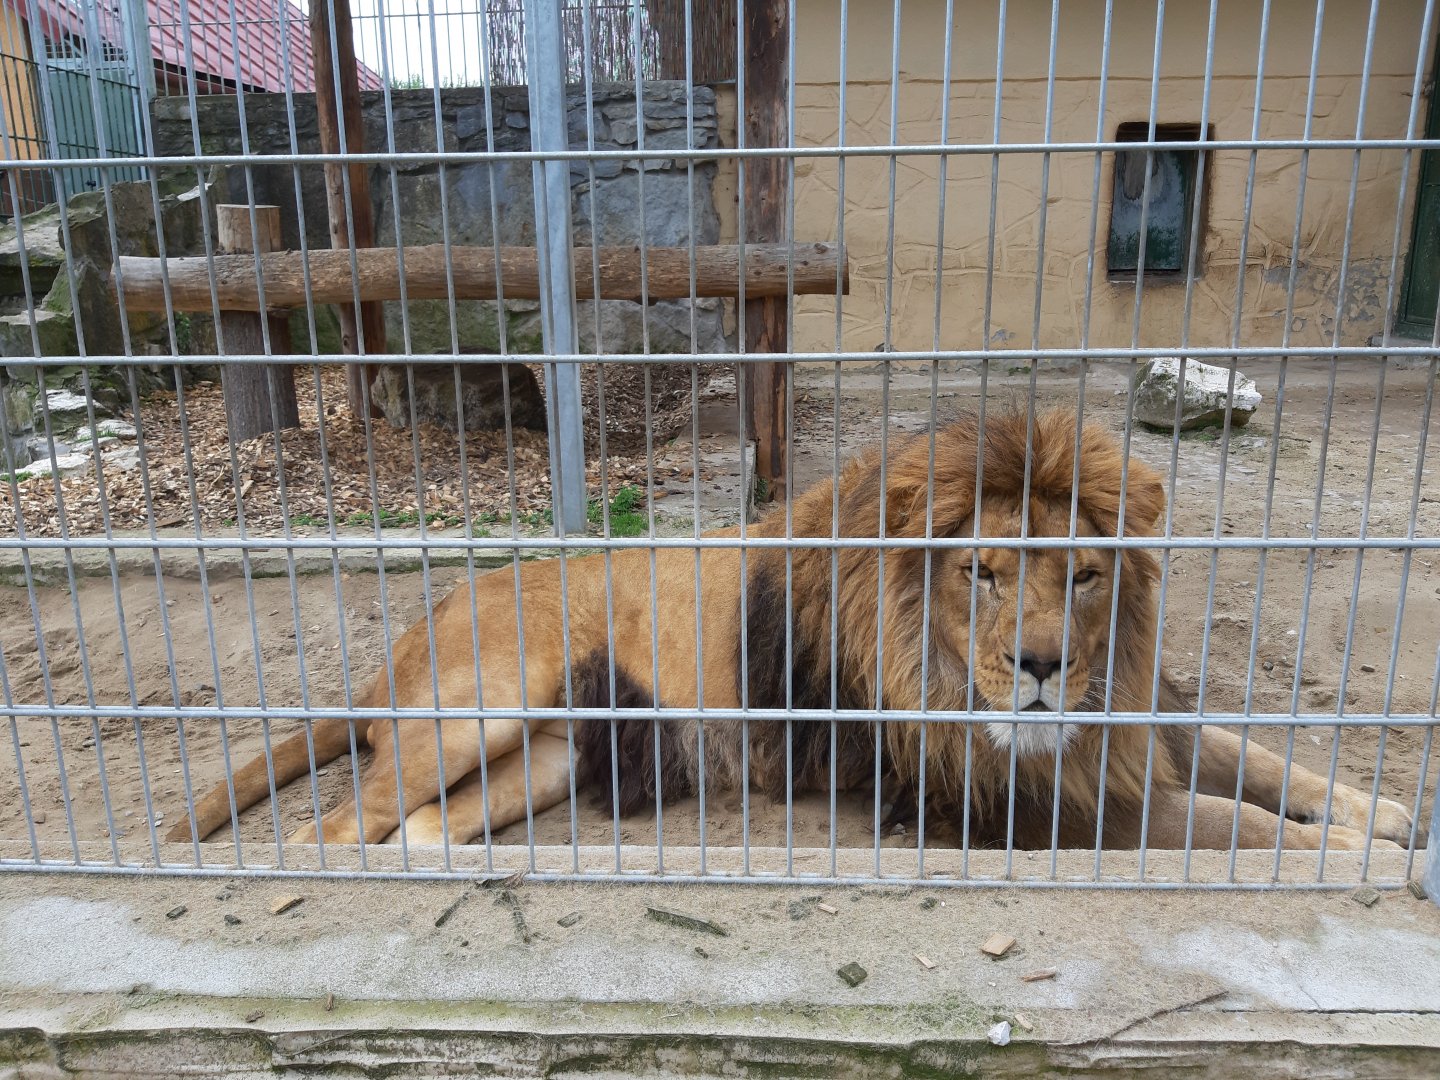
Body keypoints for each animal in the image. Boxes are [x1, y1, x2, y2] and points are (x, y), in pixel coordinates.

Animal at [167, 409, 1413, 854]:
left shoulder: (1121, 727)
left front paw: (1389, 812)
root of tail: (395, 651)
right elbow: (1232, 822)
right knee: (338, 828)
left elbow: (1262, 765)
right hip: (481, 705)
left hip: (554, 757)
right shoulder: (1005, 798)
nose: (1041, 669)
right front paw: (1365, 860)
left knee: (420, 828)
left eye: (1087, 577)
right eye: (983, 573)